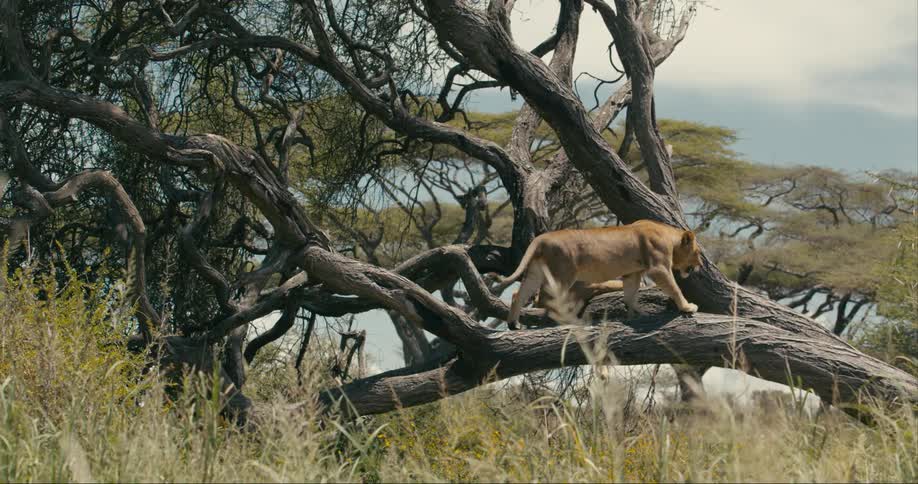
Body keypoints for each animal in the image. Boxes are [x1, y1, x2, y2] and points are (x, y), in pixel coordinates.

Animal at [495, 220, 703, 329]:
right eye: (698, 252)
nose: (700, 265)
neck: (669, 236)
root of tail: (541, 238)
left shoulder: (632, 273)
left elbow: (630, 296)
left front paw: (638, 313)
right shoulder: (658, 268)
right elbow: (675, 289)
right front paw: (687, 307)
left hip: (536, 272)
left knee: (518, 294)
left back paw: (513, 324)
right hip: (563, 273)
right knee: (547, 300)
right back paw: (572, 321)